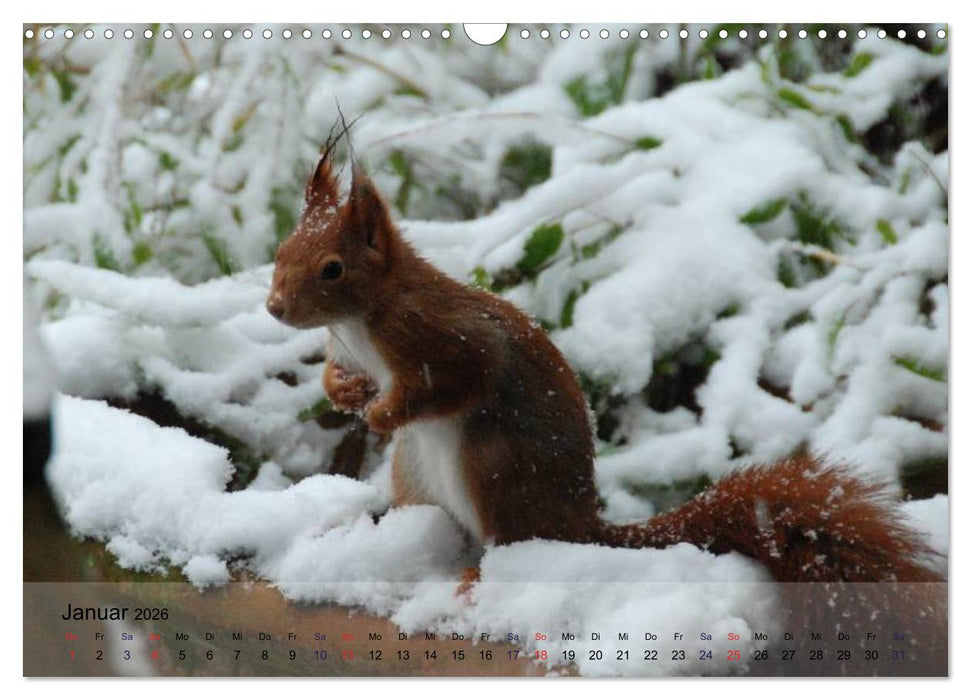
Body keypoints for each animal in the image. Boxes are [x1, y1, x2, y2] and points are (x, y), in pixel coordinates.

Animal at [267, 136, 945, 672]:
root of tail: (582, 527)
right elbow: (337, 376)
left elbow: (456, 383)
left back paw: (479, 577)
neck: (365, 320)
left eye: (332, 268)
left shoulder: (447, 341)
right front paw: (346, 393)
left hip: (494, 469)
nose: (274, 308)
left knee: (514, 543)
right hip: (417, 474)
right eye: (280, 252)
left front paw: (382, 412)